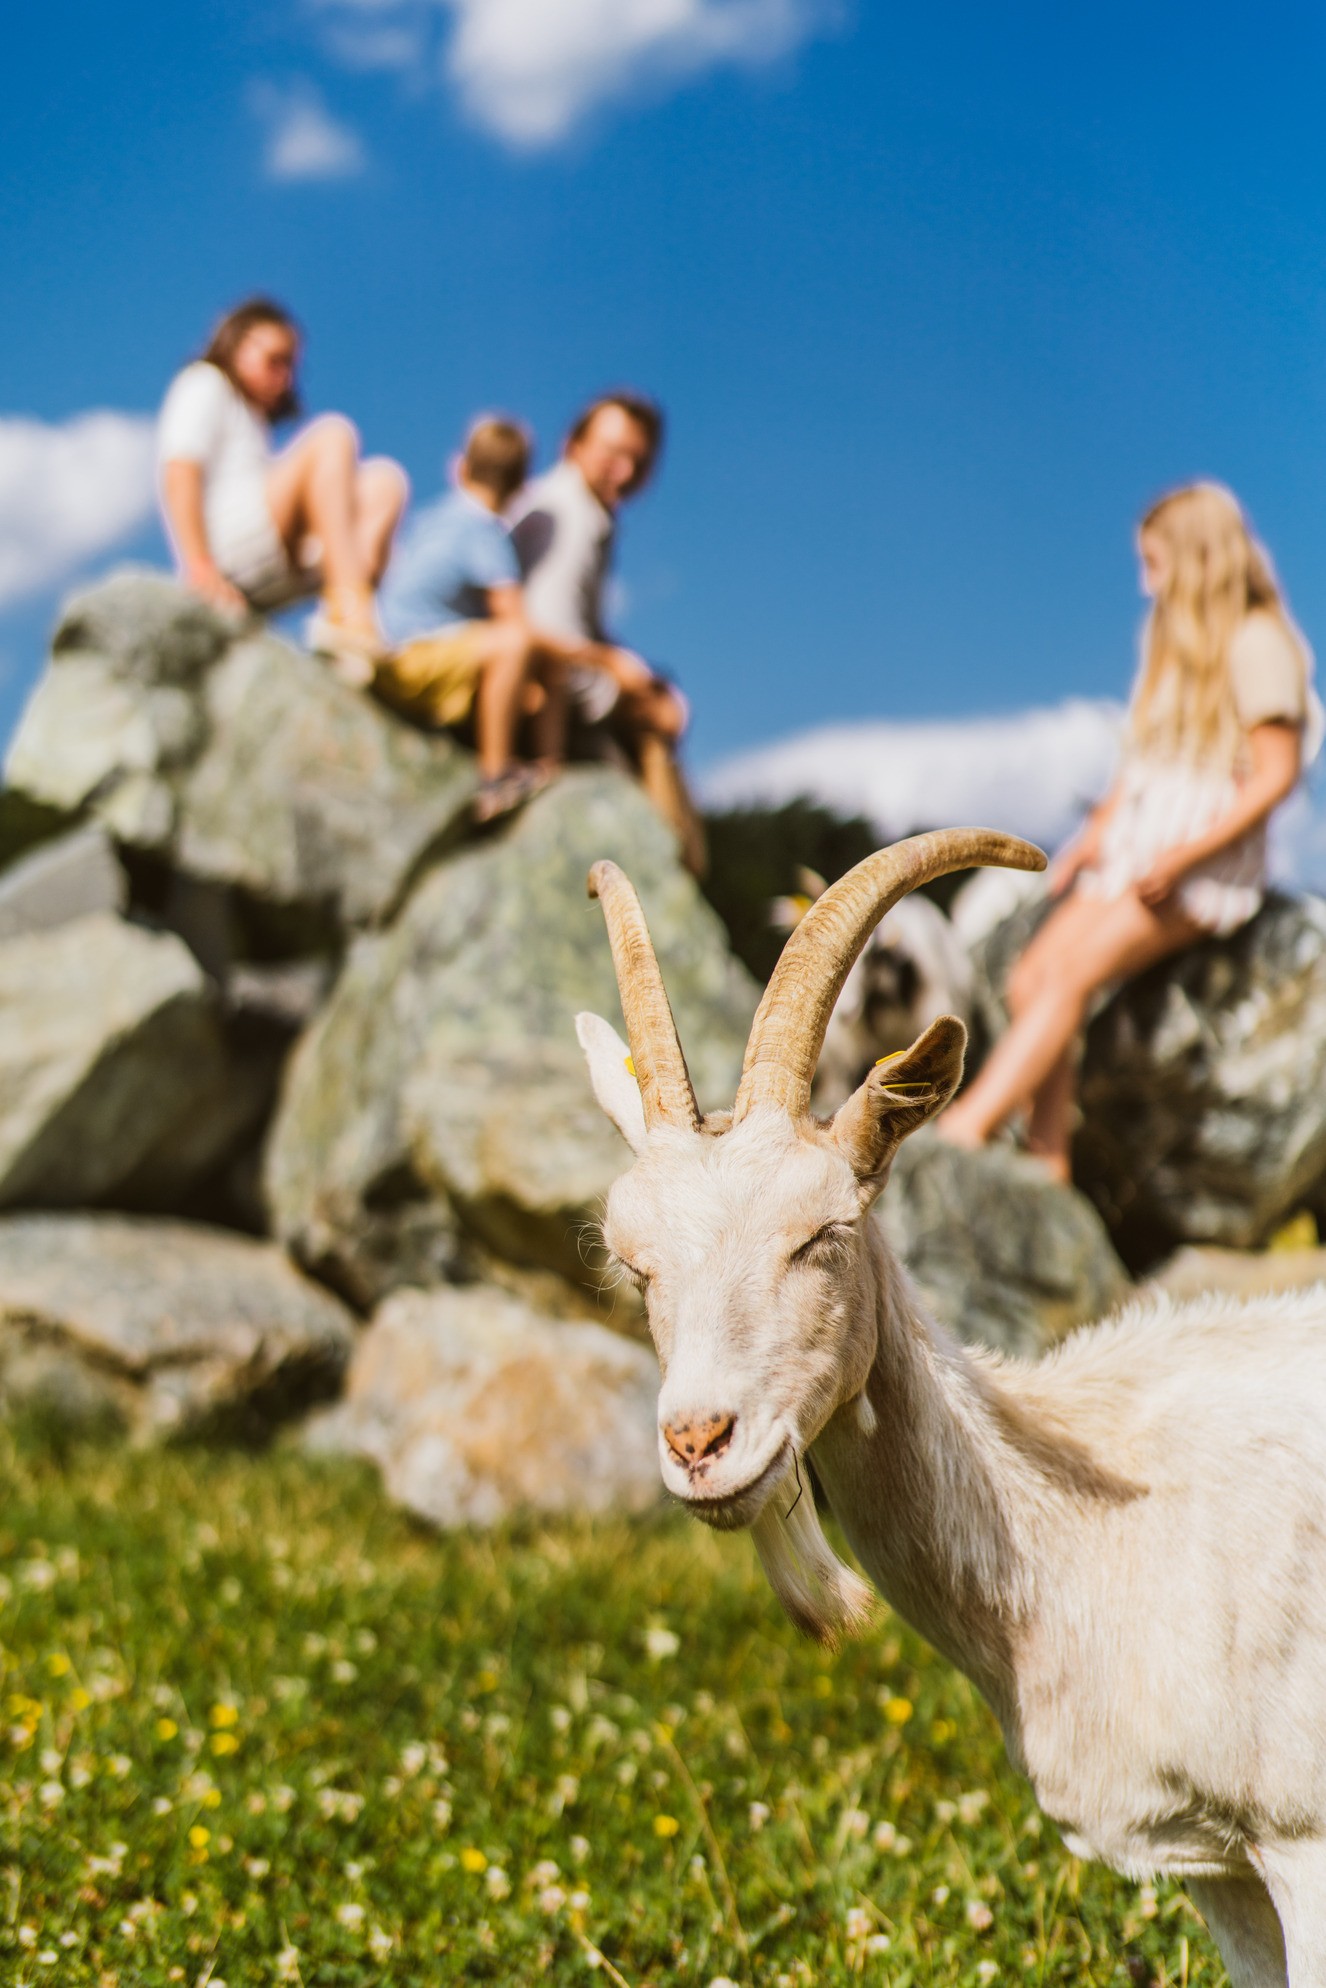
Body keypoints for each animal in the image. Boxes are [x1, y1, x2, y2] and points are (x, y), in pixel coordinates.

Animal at [576, 823, 1326, 1988]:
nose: (701, 1441)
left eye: (824, 1232)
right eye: (632, 1260)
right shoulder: (1228, 1867)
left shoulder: (1301, 1835)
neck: (1102, 1521)